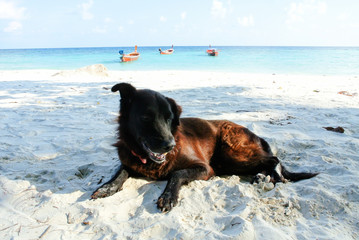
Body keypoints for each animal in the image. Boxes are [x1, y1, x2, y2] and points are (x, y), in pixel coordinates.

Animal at [90, 83, 318, 211]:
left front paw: (168, 196)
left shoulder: (204, 168)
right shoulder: (129, 159)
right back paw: (262, 176)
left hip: (231, 154)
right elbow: (120, 172)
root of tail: (254, 133)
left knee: (274, 159)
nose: (170, 145)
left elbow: (177, 173)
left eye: (169, 117)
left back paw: (273, 175)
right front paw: (107, 187)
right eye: (146, 117)